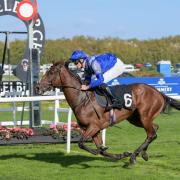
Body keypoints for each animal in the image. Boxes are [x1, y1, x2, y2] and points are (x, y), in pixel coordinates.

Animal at [35, 61, 180, 164]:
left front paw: (106, 151)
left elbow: (82, 143)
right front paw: (119, 154)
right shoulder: (93, 129)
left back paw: (134, 156)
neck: (82, 99)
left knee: (151, 133)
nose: (37, 87)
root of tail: (158, 92)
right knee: (154, 129)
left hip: (144, 116)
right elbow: (100, 150)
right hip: (136, 119)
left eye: (51, 72)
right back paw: (143, 153)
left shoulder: (94, 126)